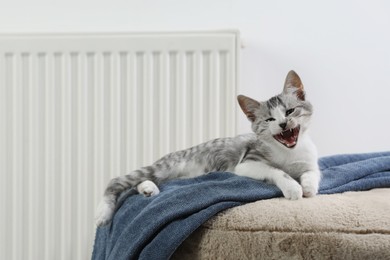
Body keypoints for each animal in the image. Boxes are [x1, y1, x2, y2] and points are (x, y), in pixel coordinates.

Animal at [95, 70, 320, 225]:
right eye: (270, 119)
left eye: (290, 111)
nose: (283, 124)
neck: (289, 152)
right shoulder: (246, 163)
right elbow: (276, 171)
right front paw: (293, 187)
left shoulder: (310, 160)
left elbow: (313, 172)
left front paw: (309, 186)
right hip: (166, 166)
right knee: (118, 181)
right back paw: (103, 213)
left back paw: (148, 189)